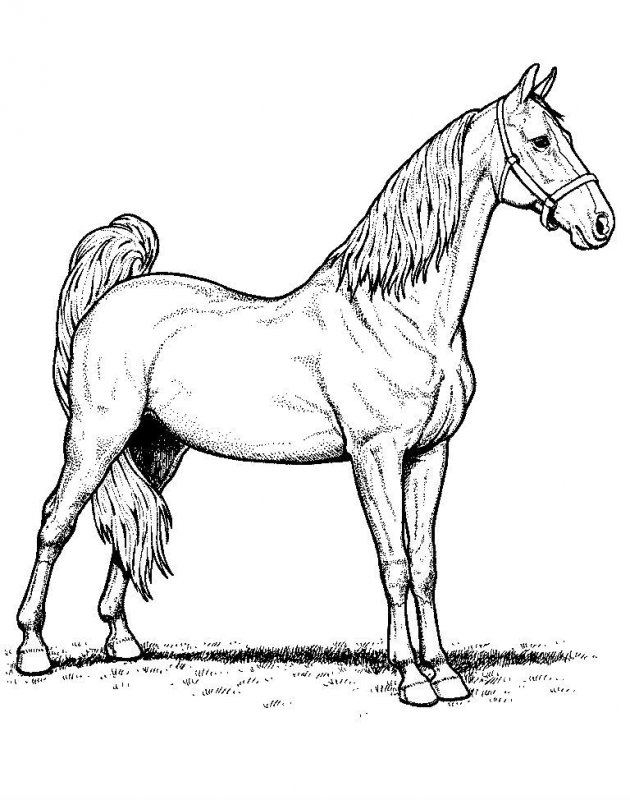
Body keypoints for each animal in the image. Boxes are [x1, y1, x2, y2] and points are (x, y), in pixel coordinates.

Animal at [16, 64, 614, 706]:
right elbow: (394, 563)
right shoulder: (375, 455)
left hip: (156, 447)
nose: (600, 222)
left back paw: (122, 642)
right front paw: (412, 677)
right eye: (541, 142)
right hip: (96, 438)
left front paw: (445, 673)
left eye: (565, 136)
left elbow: (425, 563)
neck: (400, 315)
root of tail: (110, 298)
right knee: (56, 521)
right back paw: (33, 650)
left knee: (130, 520)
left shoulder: (431, 454)